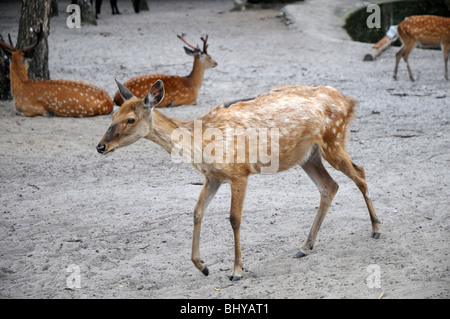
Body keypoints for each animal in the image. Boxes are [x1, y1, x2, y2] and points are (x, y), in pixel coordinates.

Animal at [96, 80, 382, 282]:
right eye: (112, 117)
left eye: (130, 119)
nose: (100, 146)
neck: (200, 143)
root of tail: (349, 102)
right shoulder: (213, 176)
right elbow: (197, 212)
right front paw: (203, 267)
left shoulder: (239, 172)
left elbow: (234, 219)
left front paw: (236, 270)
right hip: (308, 156)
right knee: (330, 186)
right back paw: (305, 246)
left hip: (333, 139)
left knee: (360, 173)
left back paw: (376, 229)